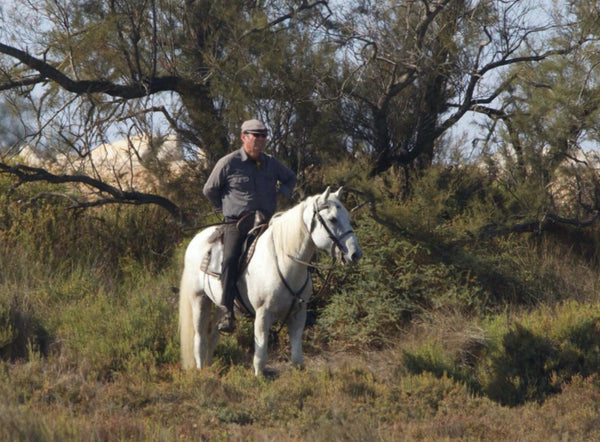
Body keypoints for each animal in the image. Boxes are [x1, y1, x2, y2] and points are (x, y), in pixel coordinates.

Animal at [179, 186, 360, 376]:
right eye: (333, 219)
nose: (355, 254)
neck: (284, 261)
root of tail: (195, 240)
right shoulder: (262, 314)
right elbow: (260, 356)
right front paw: (259, 377)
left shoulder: (298, 315)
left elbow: (297, 358)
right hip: (199, 299)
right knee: (199, 336)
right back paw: (201, 370)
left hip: (221, 304)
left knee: (213, 333)